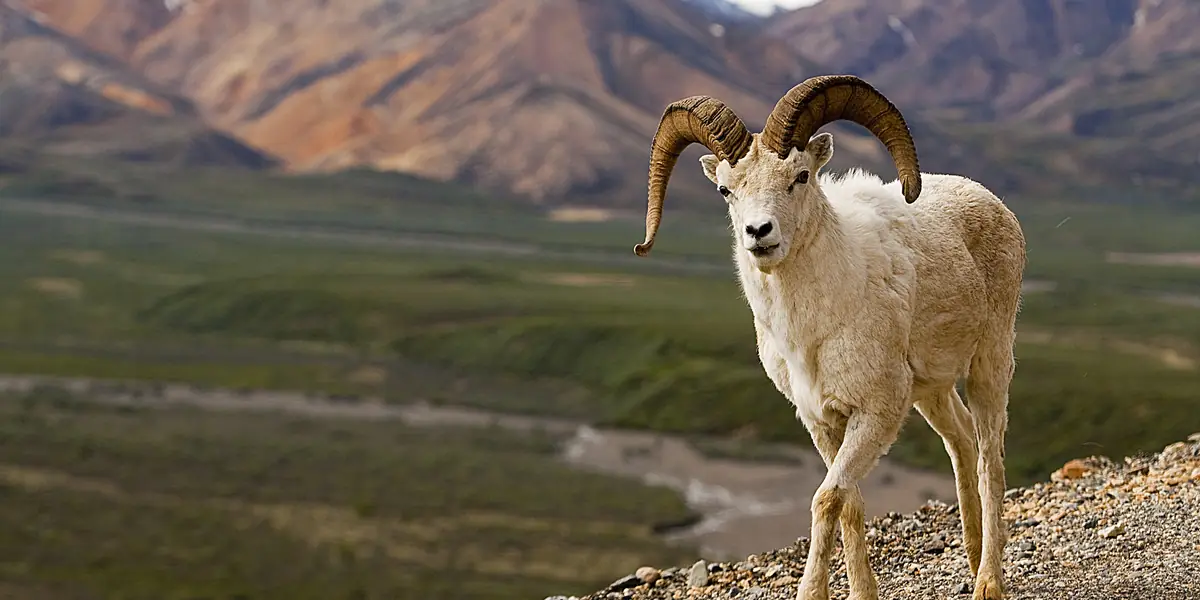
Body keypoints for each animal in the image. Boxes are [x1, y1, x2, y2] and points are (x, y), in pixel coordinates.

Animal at [631, 75, 1026, 600]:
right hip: (932, 392)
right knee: (960, 442)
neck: (811, 335)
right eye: (725, 189)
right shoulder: (822, 421)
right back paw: (972, 552)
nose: (759, 232)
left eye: (800, 176)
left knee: (989, 461)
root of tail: (992, 204)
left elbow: (827, 498)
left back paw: (988, 581)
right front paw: (862, 592)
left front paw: (812, 590)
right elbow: (850, 503)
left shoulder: (876, 413)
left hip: (989, 364)